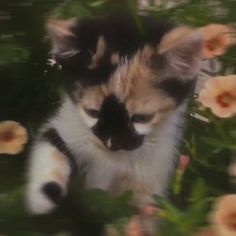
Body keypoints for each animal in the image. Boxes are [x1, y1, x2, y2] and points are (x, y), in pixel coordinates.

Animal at [25, 14, 203, 216]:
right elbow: (49, 142)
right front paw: (43, 196)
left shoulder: (151, 178)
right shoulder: (66, 124)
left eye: (141, 118)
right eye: (92, 112)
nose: (111, 143)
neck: (112, 159)